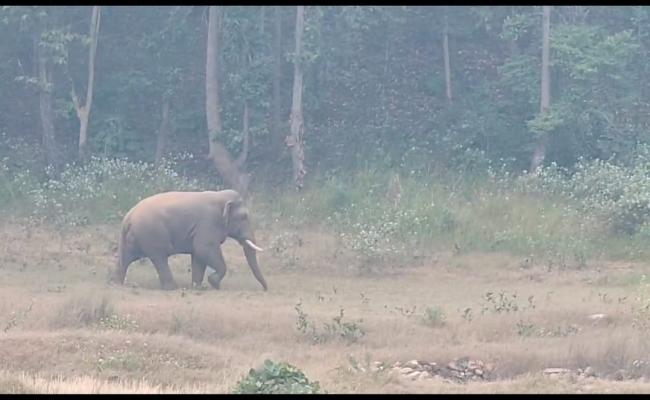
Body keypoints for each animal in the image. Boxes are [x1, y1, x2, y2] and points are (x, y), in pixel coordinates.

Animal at [110, 191, 268, 290]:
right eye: (244, 217)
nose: (265, 289)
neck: (220, 195)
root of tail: (128, 217)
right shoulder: (208, 223)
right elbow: (203, 249)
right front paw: (213, 283)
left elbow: (198, 256)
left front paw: (197, 287)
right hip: (151, 235)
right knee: (159, 258)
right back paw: (172, 288)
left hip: (131, 239)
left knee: (125, 258)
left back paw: (116, 284)